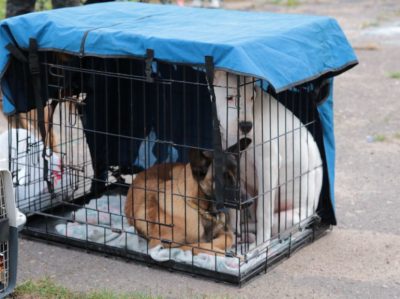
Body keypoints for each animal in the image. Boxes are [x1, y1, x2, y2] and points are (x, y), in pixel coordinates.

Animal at [214, 71, 324, 247]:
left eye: (252, 97)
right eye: (229, 98)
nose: (246, 126)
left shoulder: (268, 163)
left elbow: (264, 212)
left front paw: (260, 245)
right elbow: (233, 206)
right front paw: (232, 232)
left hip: (290, 218)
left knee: (271, 224)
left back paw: (254, 240)